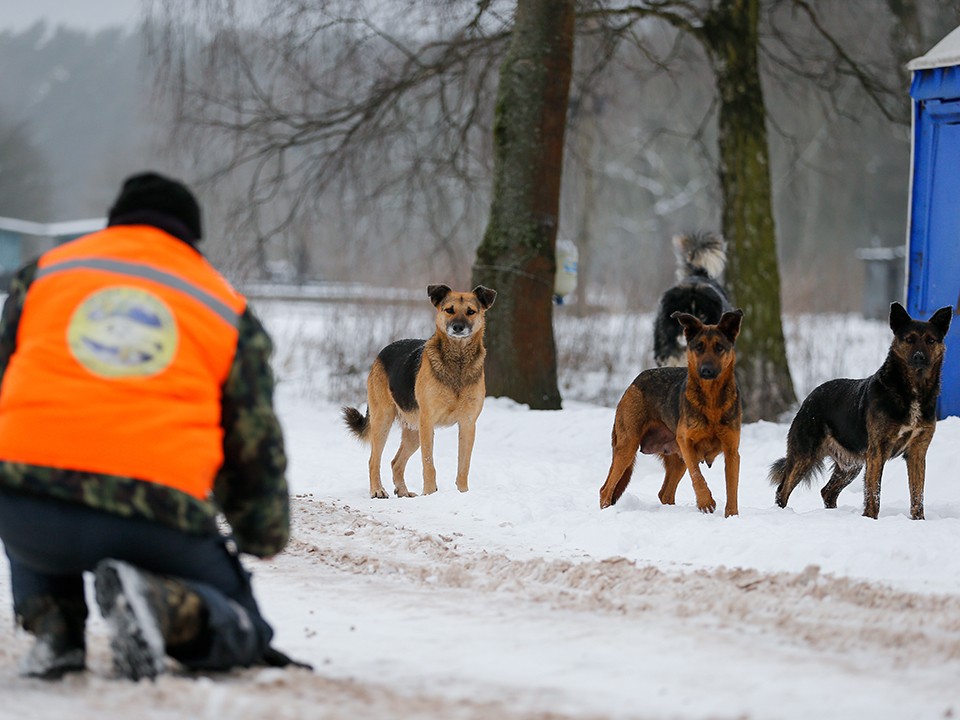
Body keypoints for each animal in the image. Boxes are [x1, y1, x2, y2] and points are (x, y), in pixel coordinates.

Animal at [344, 284, 496, 498]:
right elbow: (428, 463)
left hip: (413, 432)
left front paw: (462, 493)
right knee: (374, 459)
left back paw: (403, 492)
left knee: (395, 462)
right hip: (384, 420)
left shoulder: (467, 424)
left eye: (471, 312)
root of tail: (383, 351)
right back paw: (378, 490)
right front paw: (430, 493)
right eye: (449, 310)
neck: (457, 362)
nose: (458, 327)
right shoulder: (428, 421)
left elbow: (463, 465)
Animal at [600, 306, 744, 516]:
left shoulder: (732, 452)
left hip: (675, 459)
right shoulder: (686, 444)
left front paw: (732, 516)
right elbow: (697, 475)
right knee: (606, 489)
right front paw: (705, 501)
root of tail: (634, 382)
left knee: (665, 493)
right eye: (698, 347)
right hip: (628, 447)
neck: (711, 400)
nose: (706, 370)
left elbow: (732, 489)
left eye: (719, 347)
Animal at [772, 300, 952, 520]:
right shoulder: (877, 451)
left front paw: (919, 521)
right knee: (783, 489)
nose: (920, 357)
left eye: (931, 341)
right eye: (909, 340)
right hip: (804, 455)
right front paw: (870, 519)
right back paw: (780, 512)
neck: (910, 391)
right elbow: (874, 492)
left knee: (827, 491)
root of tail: (810, 397)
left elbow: (918, 495)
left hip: (851, 466)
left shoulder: (917, 452)